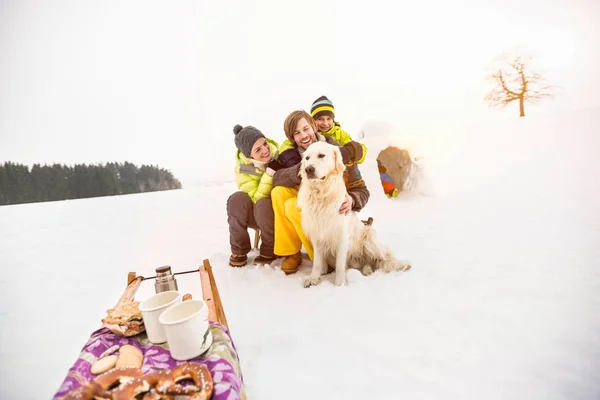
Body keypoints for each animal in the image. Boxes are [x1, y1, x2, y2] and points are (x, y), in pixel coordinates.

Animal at [296, 141, 410, 288]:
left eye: (321, 155)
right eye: (307, 158)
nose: (308, 169)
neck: (322, 194)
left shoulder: (341, 234)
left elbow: (339, 264)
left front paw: (340, 284)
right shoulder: (318, 234)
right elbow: (317, 261)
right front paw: (313, 278)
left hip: (369, 237)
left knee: (385, 256)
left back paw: (401, 264)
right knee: (371, 262)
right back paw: (367, 269)